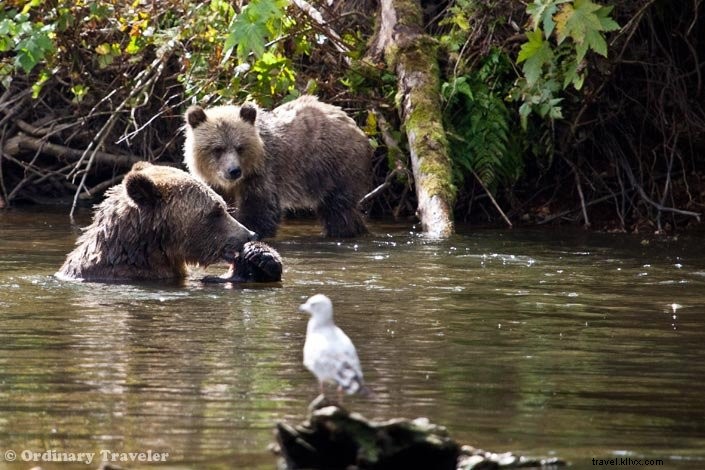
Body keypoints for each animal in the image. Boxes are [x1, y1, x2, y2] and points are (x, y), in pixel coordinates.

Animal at [183, 95, 371, 239]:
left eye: (240, 147)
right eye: (217, 149)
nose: (234, 171)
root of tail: (356, 126)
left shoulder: (261, 176)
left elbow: (260, 212)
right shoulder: (217, 185)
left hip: (335, 167)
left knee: (338, 210)